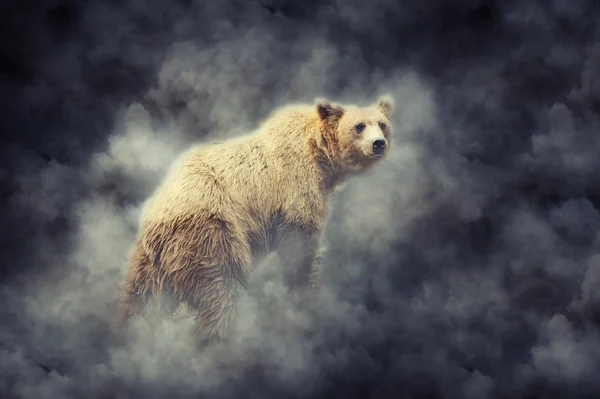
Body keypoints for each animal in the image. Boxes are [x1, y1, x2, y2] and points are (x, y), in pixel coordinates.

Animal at [113, 96, 394, 344]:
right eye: (359, 126)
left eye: (382, 124)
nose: (378, 144)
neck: (320, 156)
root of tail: (158, 223)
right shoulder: (295, 186)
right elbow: (300, 242)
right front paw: (303, 286)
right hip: (212, 235)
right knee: (219, 290)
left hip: (152, 260)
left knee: (142, 300)